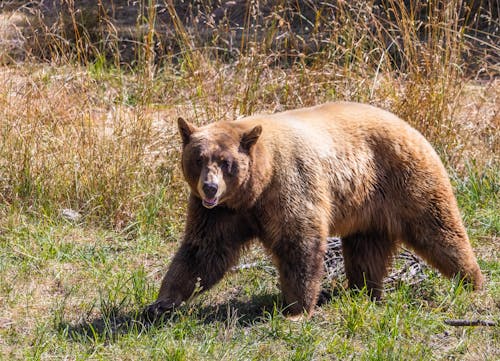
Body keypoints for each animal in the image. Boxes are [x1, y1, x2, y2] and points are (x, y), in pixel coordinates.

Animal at [146, 100, 484, 318]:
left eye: (226, 162)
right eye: (198, 158)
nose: (210, 188)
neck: (256, 187)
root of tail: (408, 124)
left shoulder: (288, 186)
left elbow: (299, 242)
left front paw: (296, 309)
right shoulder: (222, 213)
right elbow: (203, 252)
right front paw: (161, 303)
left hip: (406, 179)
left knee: (439, 229)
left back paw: (472, 281)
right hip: (367, 209)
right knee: (366, 251)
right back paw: (364, 290)